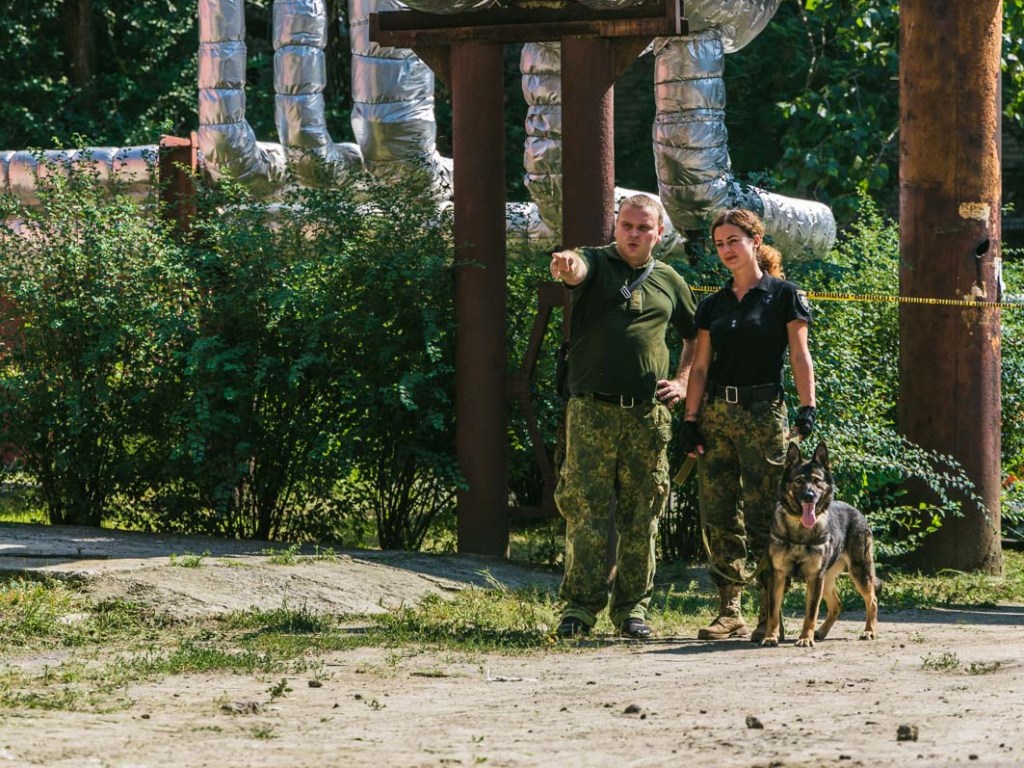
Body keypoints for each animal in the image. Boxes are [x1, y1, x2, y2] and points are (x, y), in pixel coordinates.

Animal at [761, 442, 880, 647]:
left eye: (817, 481)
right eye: (799, 481)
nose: (809, 496)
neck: (800, 529)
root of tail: (856, 510)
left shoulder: (815, 577)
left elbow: (811, 613)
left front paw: (805, 638)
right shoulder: (777, 575)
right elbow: (773, 611)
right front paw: (771, 636)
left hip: (859, 572)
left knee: (872, 600)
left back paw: (869, 631)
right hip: (828, 579)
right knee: (837, 604)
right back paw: (822, 632)